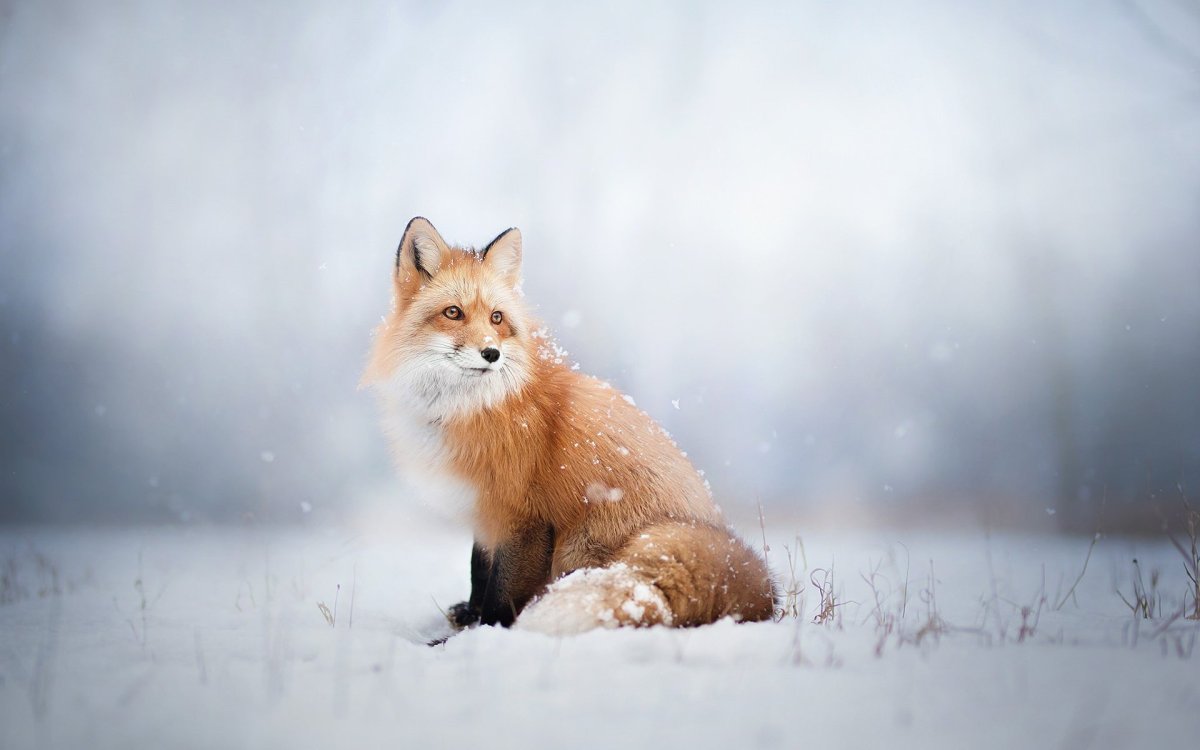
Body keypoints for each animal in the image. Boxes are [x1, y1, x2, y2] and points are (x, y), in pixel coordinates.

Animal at [362, 217, 776, 635]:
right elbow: (479, 571)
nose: (491, 353)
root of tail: (758, 592)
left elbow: (500, 594)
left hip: (581, 541)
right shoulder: (484, 511)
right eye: (453, 312)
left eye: (497, 318)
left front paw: (482, 635)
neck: (474, 407)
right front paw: (470, 617)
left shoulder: (523, 518)